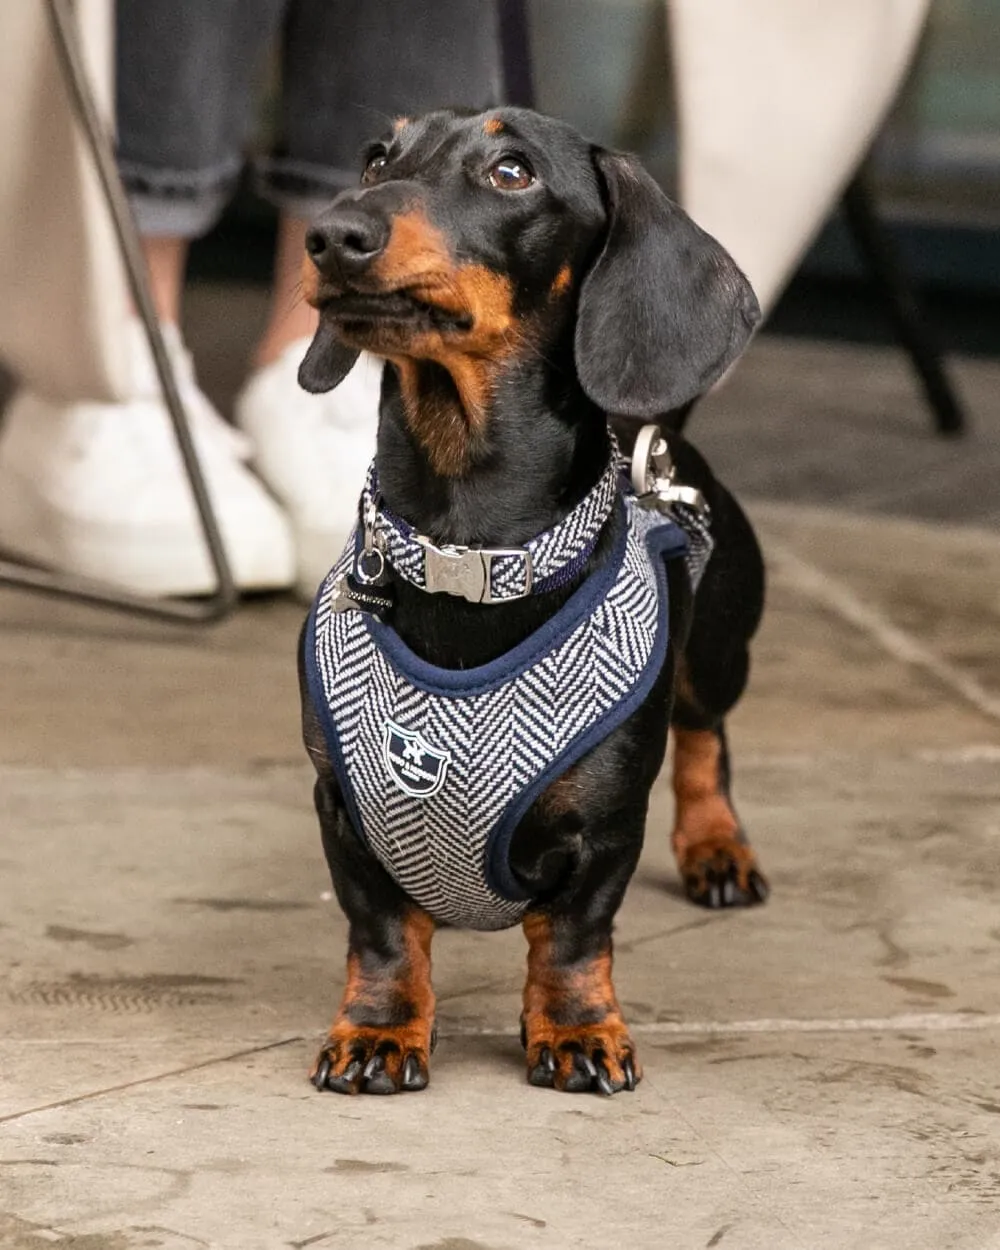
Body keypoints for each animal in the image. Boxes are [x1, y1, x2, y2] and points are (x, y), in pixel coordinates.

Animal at [295, 112, 765, 1100]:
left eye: (513, 171)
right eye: (377, 158)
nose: (331, 235)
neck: (469, 553)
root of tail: (660, 438)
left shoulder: (606, 831)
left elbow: (575, 941)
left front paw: (580, 1029)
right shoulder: (343, 811)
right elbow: (384, 936)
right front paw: (380, 1029)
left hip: (715, 657)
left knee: (708, 737)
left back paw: (718, 847)